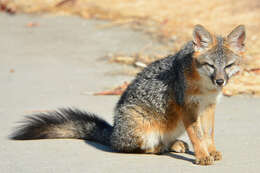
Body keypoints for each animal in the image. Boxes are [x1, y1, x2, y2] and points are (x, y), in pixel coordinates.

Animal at [10, 24, 246, 165]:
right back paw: (160, 147)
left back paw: (174, 144)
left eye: (228, 66)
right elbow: (197, 136)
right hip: (143, 128)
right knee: (134, 148)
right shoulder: (188, 107)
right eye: (210, 65)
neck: (206, 88)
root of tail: (113, 131)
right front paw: (203, 156)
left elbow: (208, 133)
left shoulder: (208, 106)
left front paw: (211, 151)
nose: (220, 81)